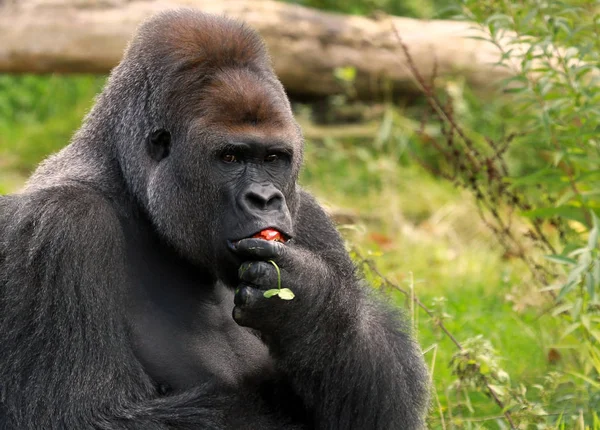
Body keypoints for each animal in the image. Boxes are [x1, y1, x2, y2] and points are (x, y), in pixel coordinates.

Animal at [0, 8, 428, 428]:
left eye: (273, 157)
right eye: (230, 157)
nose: (264, 198)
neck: (129, 186)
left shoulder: (310, 217)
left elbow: (382, 413)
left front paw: (311, 307)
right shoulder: (61, 227)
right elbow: (81, 412)